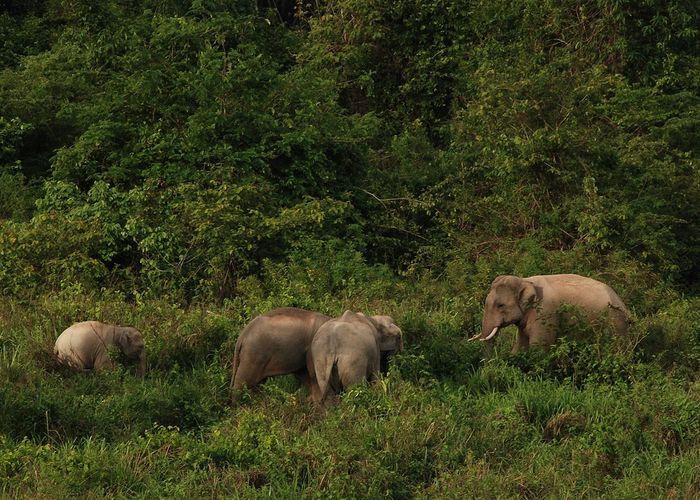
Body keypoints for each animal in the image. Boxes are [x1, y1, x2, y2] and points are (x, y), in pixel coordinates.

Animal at [470, 274, 628, 356]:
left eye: (500, 305)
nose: (487, 369)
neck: (525, 280)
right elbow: (521, 344)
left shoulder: (545, 313)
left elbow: (539, 347)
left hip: (616, 321)